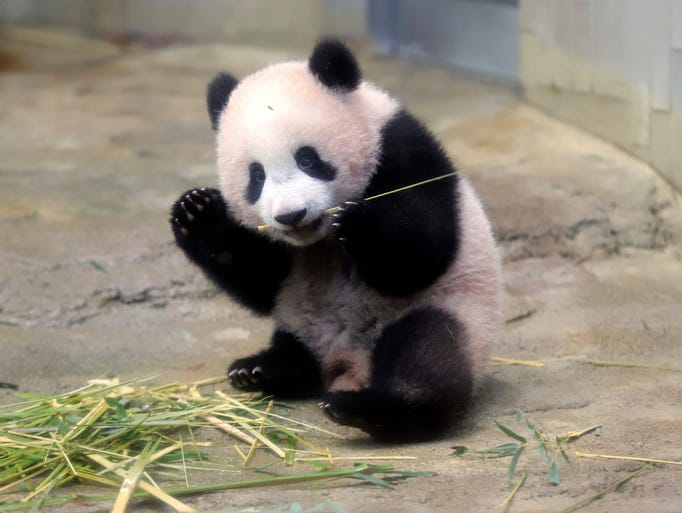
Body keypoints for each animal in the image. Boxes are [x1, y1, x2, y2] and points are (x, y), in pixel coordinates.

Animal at [170, 39, 500, 440]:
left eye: (308, 159)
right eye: (257, 176)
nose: (291, 216)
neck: (320, 241)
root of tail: (345, 364)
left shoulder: (403, 150)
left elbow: (422, 253)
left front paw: (356, 221)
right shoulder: (283, 263)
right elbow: (260, 280)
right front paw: (197, 211)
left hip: (450, 310)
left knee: (426, 355)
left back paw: (365, 408)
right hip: (300, 322)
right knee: (297, 355)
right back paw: (259, 370)